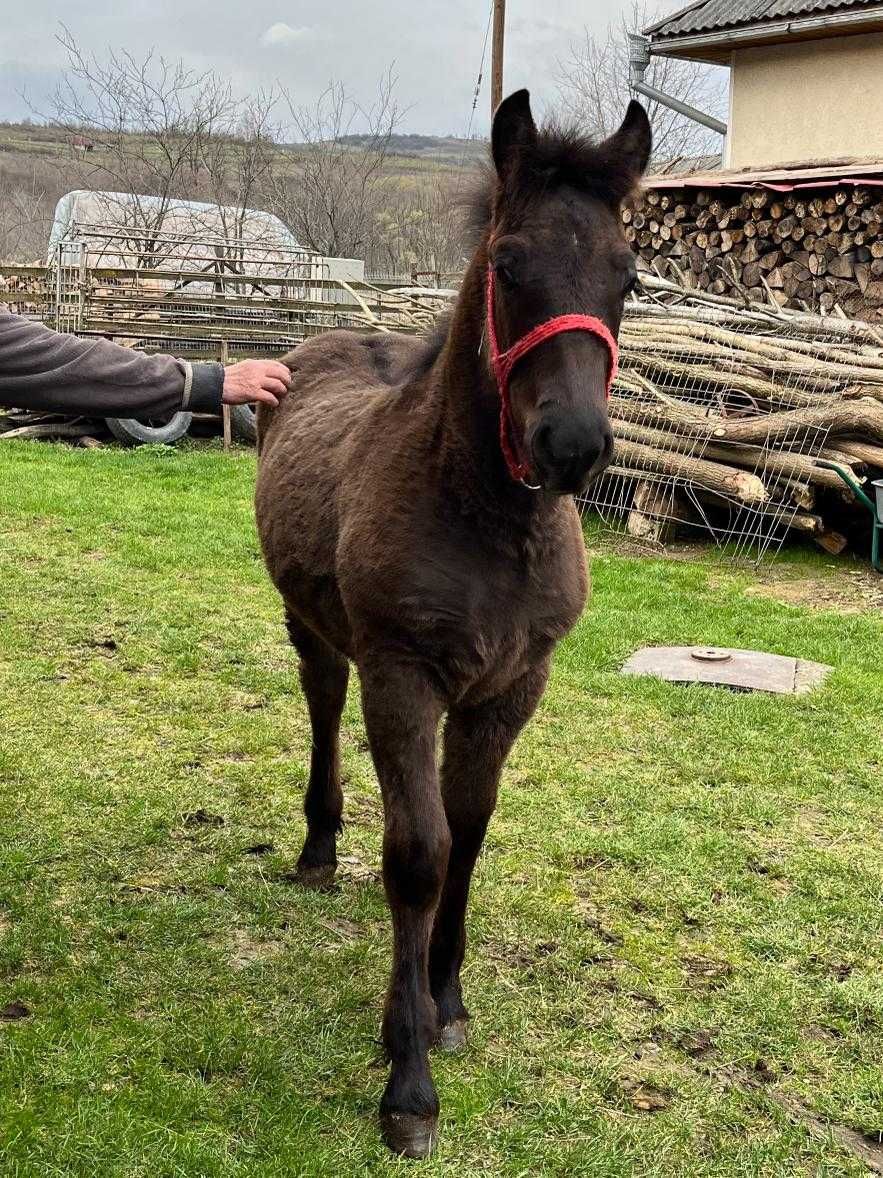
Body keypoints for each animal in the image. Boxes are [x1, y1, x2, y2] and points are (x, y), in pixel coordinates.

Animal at [255, 94, 649, 1159]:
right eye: (507, 263)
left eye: (628, 274)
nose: (571, 445)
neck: (487, 520)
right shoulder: (406, 678)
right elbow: (418, 854)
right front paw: (408, 1079)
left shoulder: (510, 688)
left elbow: (467, 830)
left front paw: (448, 999)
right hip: (317, 630)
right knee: (322, 704)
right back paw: (317, 850)